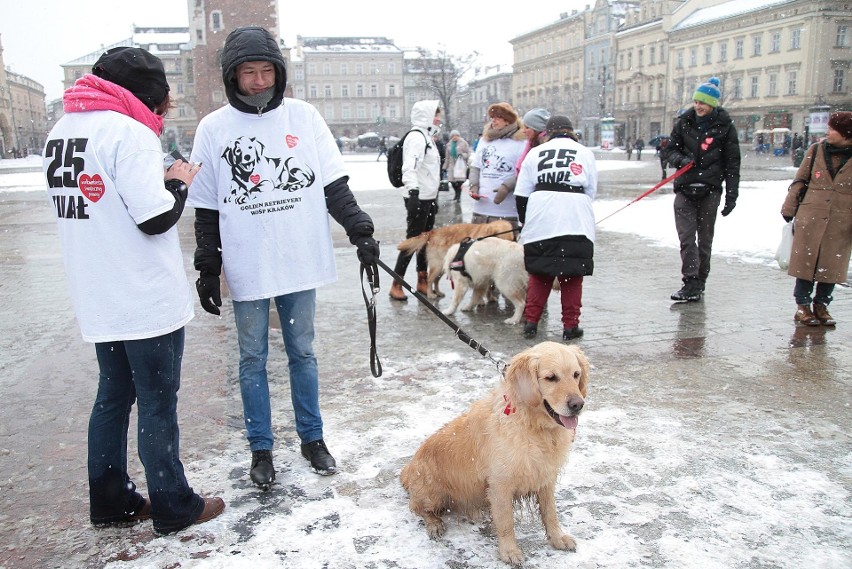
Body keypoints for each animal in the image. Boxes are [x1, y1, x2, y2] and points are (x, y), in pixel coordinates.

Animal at [398, 340, 584, 564]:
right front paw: (509, 551)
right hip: (433, 492)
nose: (578, 405)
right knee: (418, 508)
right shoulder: (500, 484)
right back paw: (434, 523)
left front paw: (558, 538)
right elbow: (506, 523)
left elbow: (550, 513)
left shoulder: (545, 477)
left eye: (576, 374)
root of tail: (408, 469)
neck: (532, 425)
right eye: (551, 378)